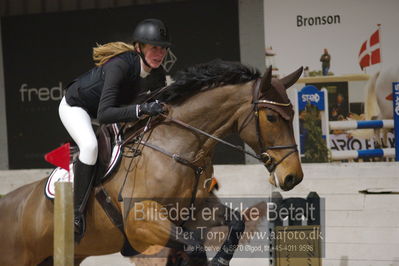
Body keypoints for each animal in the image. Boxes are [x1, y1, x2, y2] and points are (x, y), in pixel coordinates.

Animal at [0, 60, 304, 266]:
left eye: (292, 115)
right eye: (272, 118)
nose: (293, 177)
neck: (180, 147)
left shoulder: (195, 212)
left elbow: (236, 223)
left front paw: (220, 259)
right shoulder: (142, 221)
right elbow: (194, 247)